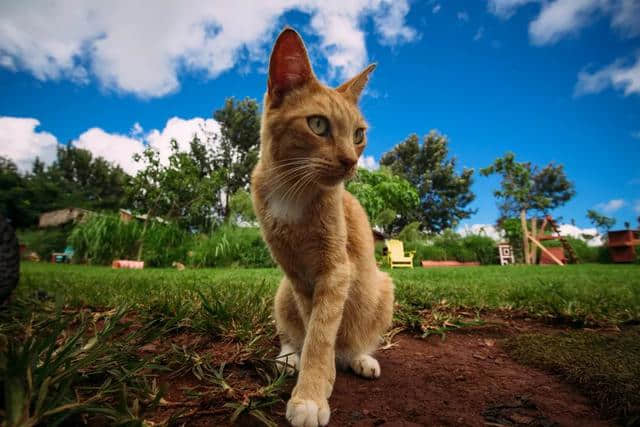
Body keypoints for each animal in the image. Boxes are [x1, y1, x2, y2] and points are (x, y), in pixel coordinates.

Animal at [251, 28, 396, 426]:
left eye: (359, 134)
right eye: (318, 124)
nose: (350, 161)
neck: (291, 190)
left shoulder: (335, 270)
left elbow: (322, 333)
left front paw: (311, 396)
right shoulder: (297, 276)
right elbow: (311, 328)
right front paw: (309, 373)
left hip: (382, 287)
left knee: (352, 342)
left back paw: (359, 358)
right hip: (282, 291)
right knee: (291, 332)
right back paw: (290, 356)